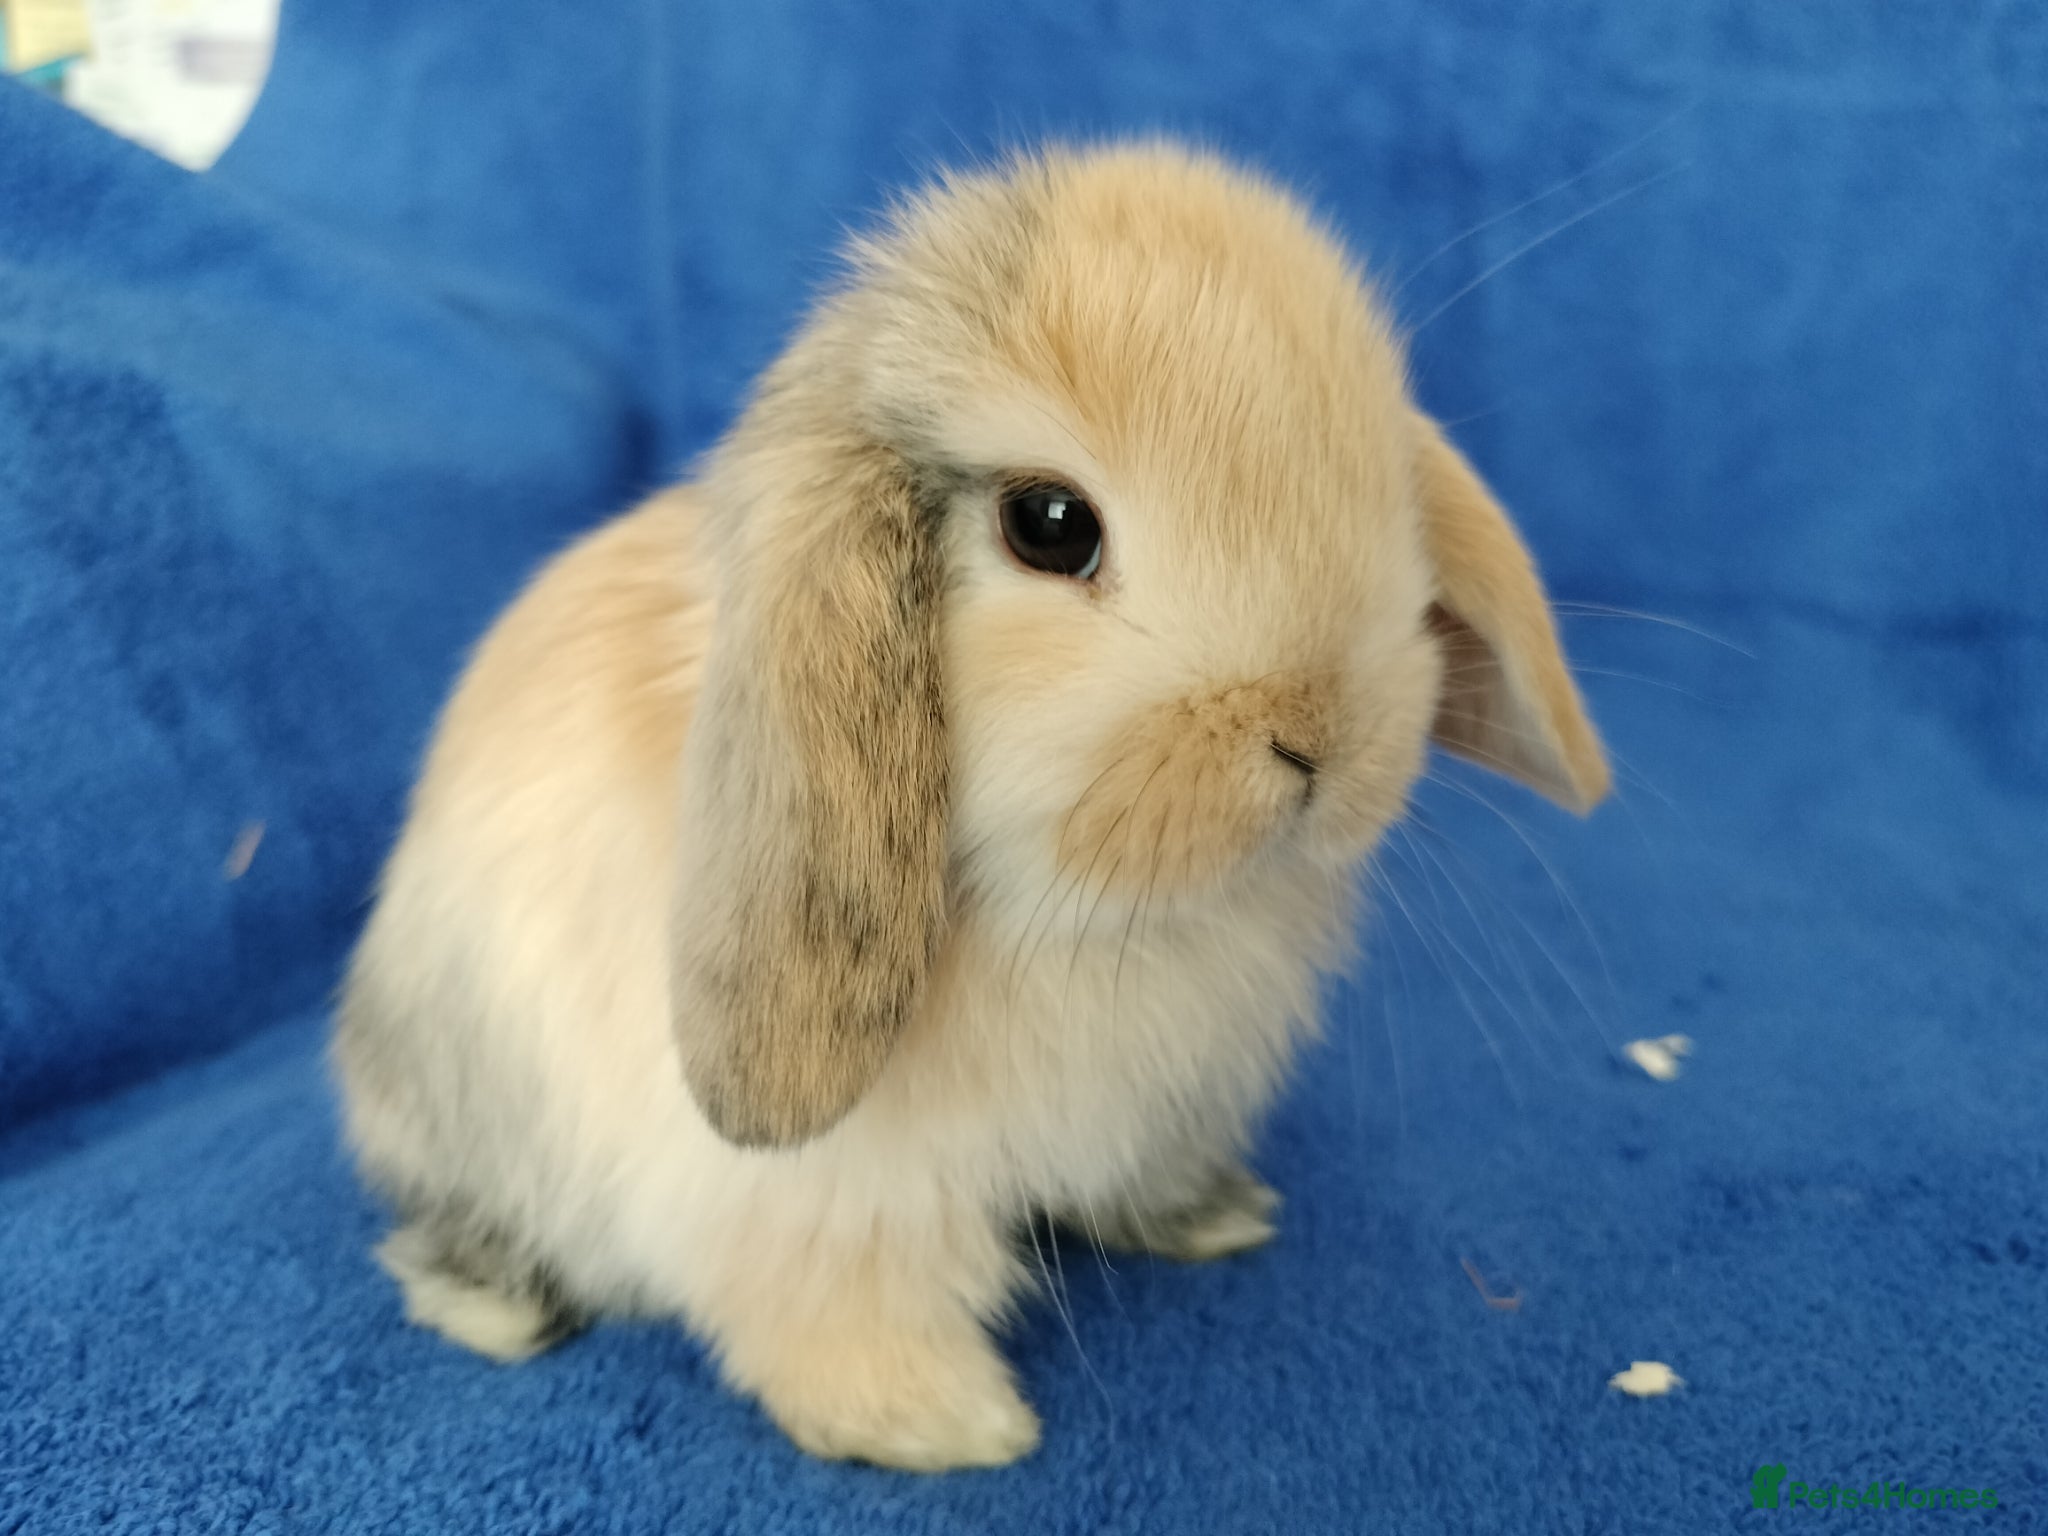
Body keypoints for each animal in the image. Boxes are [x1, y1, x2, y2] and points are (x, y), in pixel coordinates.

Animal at [332, 139, 1609, 1472]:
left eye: (1385, 488)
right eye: (1048, 526)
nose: (1319, 737)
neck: (1080, 915)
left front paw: (1212, 1217)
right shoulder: (825, 1207)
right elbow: (831, 1310)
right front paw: (947, 1425)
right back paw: (493, 1307)